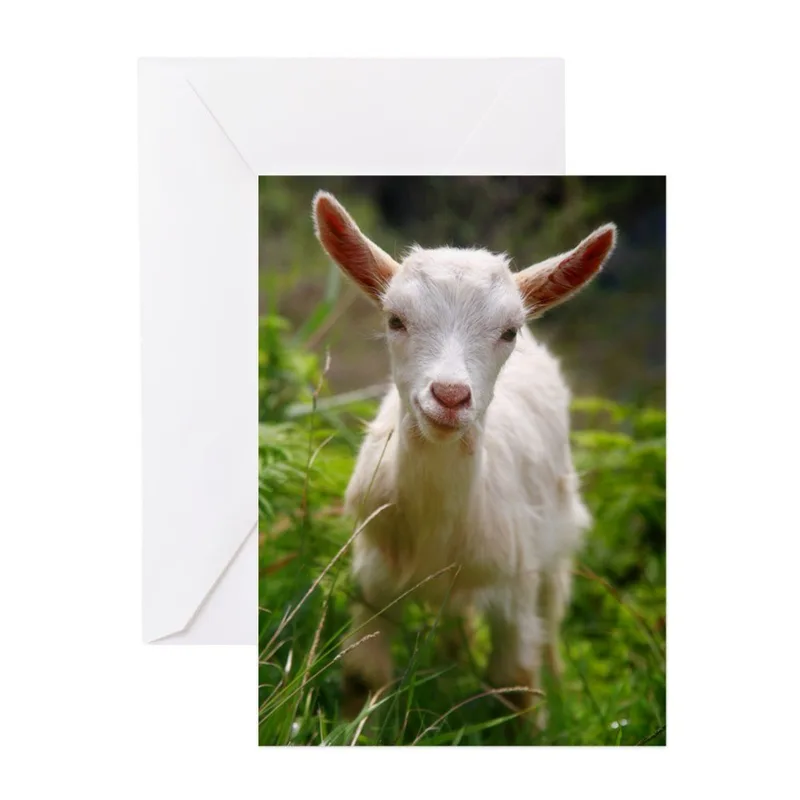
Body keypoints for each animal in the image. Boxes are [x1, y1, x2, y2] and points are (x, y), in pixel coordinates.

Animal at [312, 190, 617, 726]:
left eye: (509, 331)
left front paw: (538, 726)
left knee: (552, 620)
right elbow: (363, 674)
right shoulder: (373, 578)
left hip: (557, 536)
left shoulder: (515, 585)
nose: (450, 396)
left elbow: (516, 683)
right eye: (395, 319)